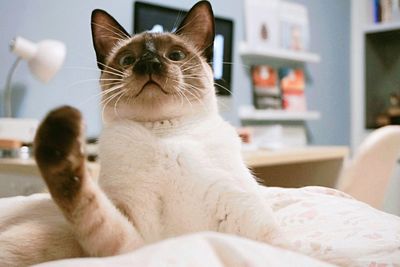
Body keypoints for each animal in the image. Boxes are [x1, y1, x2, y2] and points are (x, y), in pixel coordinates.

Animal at [0, 1, 282, 266]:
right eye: (128, 60)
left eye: (175, 55)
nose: (149, 63)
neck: (163, 132)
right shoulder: (136, 236)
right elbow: (89, 210)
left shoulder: (251, 225)